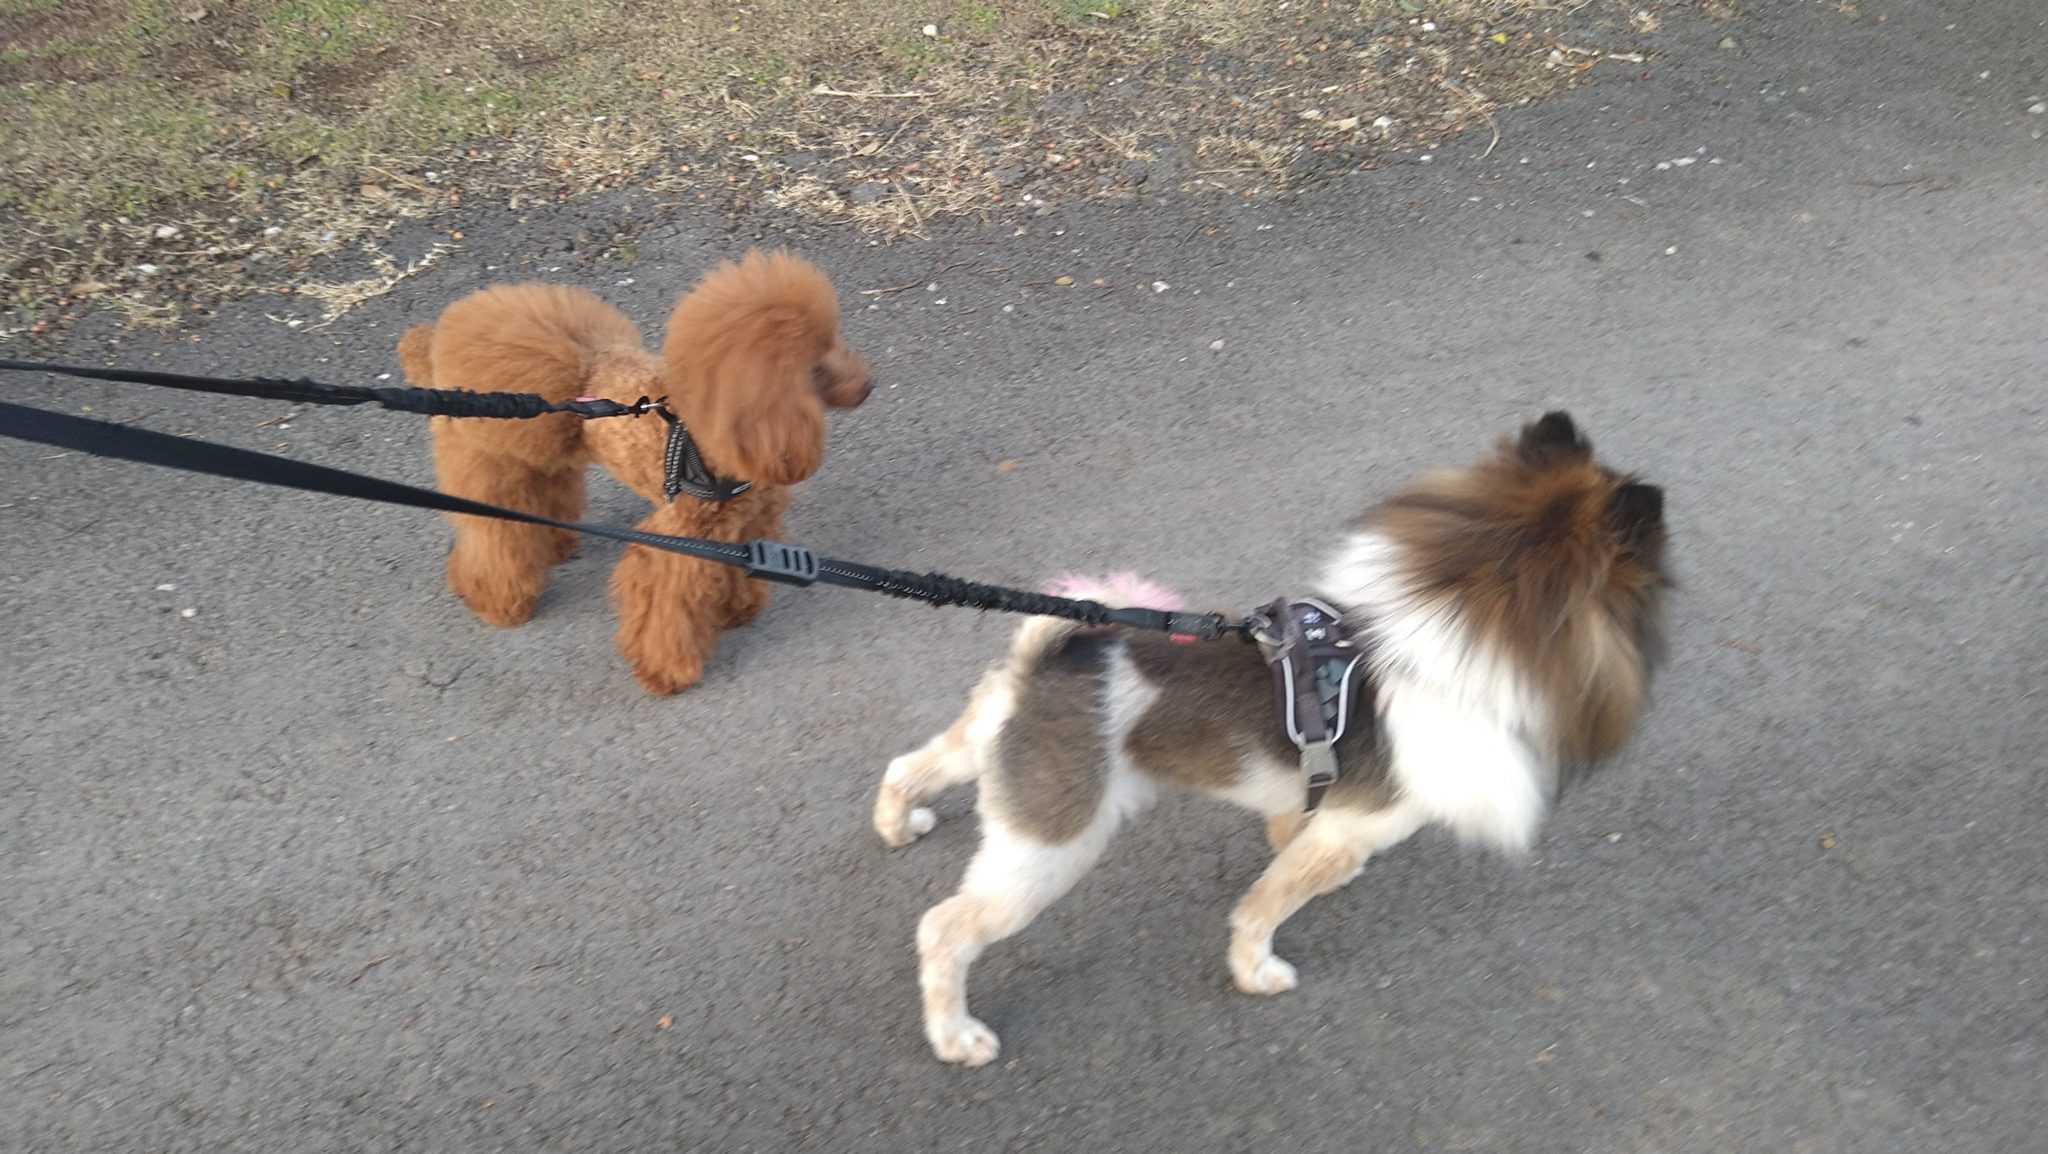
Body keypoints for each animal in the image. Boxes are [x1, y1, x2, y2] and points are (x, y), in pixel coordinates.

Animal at [397, 250, 871, 693]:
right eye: (813, 365)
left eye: (834, 339)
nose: (868, 385)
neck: (709, 434)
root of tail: (435, 349)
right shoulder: (681, 537)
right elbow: (667, 599)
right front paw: (666, 670)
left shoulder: (742, 526)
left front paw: (737, 609)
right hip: (488, 465)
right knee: (493, 538)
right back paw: (493, 599)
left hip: (543, 455)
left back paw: (554, 546)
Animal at [871, 412, 1669, 1065]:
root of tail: (1055, 654)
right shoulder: (1353, 828)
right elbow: (1264, 906)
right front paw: (1256, 973)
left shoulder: (1318, 807)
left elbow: (1290, 841)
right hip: (1048, 847)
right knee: (943, 930)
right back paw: (956, 1037)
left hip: (985, 752)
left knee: (905, 767)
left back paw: (898, 824)